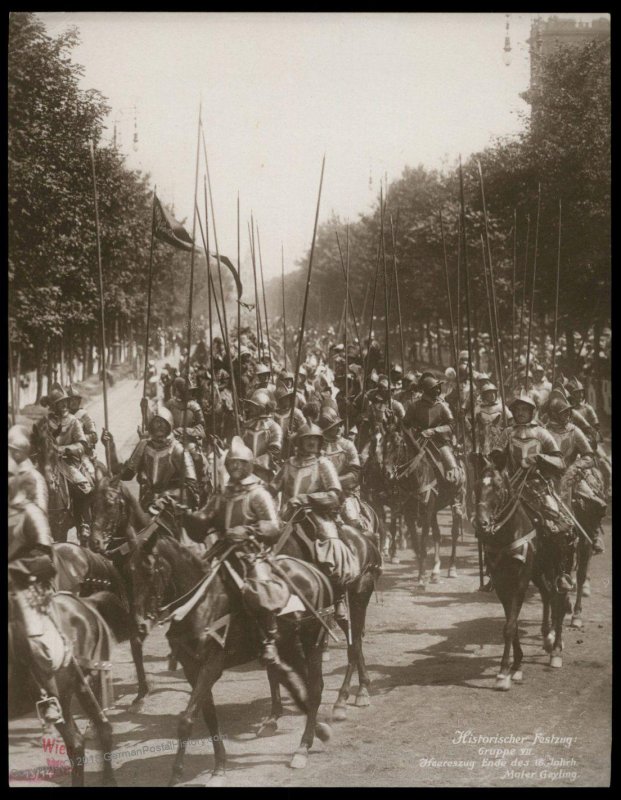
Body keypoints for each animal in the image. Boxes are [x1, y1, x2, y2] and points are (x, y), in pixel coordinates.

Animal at [126, 528, 336, 784]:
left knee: (314, 688)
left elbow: (186, 720)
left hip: (311, 640)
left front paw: (176, 773)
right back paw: (317, 730)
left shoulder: (212, 665)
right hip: (288, 644)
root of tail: (314, 571)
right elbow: (209, 716)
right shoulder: (192, 668)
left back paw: (303, 748)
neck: (201, 605)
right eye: (129, 572)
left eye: (148, 570)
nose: (139, 625)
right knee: (302, 684)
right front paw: (219, 768)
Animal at [380, 424, 462, 588]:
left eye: (397, 445)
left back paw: (452, 568)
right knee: (437, 535)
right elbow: (418, 547)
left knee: (454, 532)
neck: (417, 476)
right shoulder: (409, 514)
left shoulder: (426, 514)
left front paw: (422, 579)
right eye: (383, 445)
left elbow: (423, 544)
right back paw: (435, 572)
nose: (387, 473)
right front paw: (422, 575)